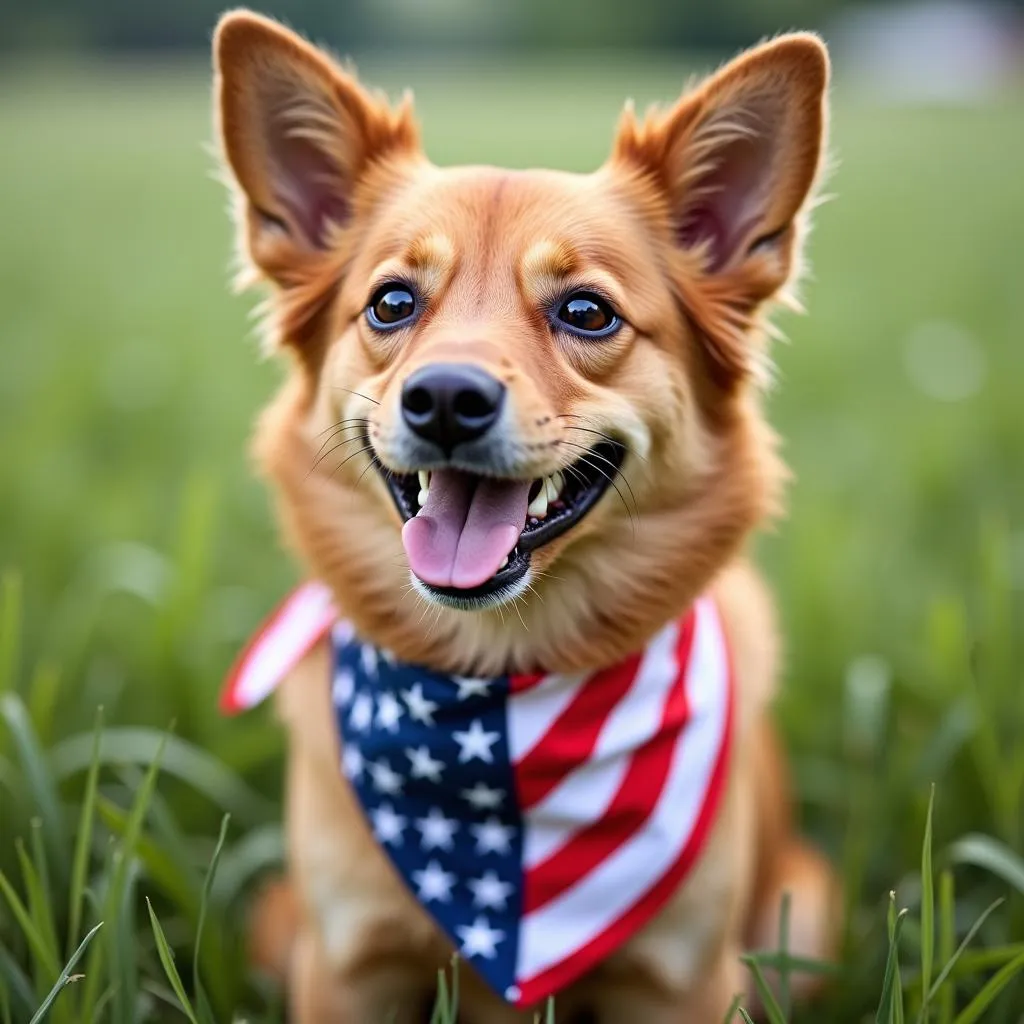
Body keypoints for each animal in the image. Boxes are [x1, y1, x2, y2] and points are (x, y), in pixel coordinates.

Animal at [211, 12, 835, 1019]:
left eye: (586, 310)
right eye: (392, 302)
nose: (446, 399)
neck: (498, 679)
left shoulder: (682, 980)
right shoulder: (344, 967)